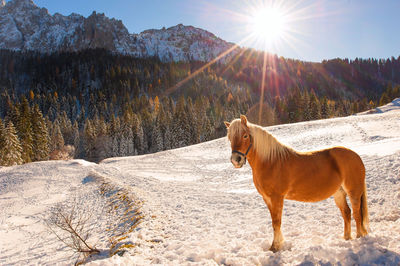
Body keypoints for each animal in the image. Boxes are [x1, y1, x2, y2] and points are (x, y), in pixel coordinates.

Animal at [225, 114, 368, 251]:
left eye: (245, 136)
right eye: (230, 138)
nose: (236, 160)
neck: (271, 162)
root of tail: (356, 156)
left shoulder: (277, 198)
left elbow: (277, 221)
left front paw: (276, 247)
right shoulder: (267, 198)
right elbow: (274, 221)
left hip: (353, 192)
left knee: (356, 213)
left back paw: (359, 237)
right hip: (339, 193)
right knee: (346, 213)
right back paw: (346, 238)